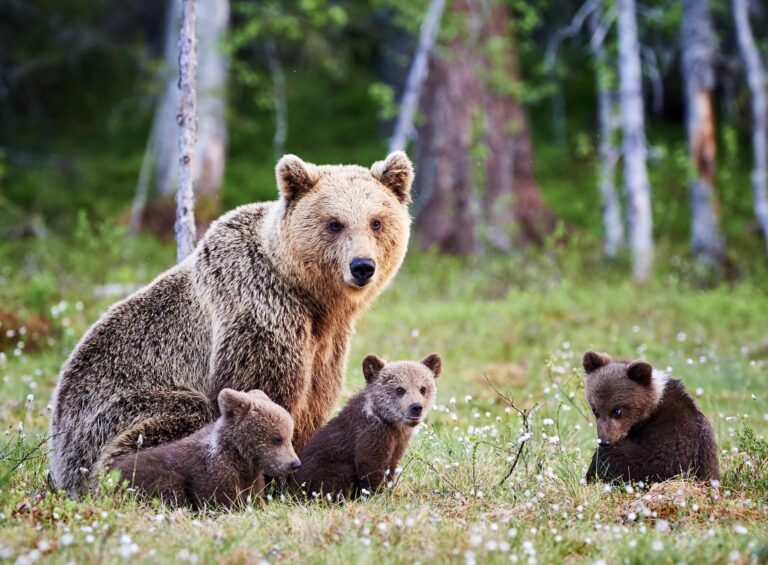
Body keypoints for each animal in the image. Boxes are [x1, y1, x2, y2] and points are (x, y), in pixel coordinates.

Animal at [50, 151, 414, 494]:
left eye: (376, 222)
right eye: (335, 223)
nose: (362, 266)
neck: (311, 297)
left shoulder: (327, 342)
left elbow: (315, 400)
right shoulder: (260, 311)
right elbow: (263, 394)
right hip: (112, 414)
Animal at [111, 388, 300, 508]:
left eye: (289, 437)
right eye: (277, 438)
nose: (295, 463)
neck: (240, 459)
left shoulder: (251, 477)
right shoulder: (212, 472)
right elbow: (219, 498)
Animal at [292, 353, 441, 499]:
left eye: (423, 388)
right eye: (400, 389)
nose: (416, 407)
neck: (390, 423)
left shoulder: (399, 441)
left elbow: (391, 466)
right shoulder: (371, 435)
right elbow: (370, 467)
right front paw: (376, 495)